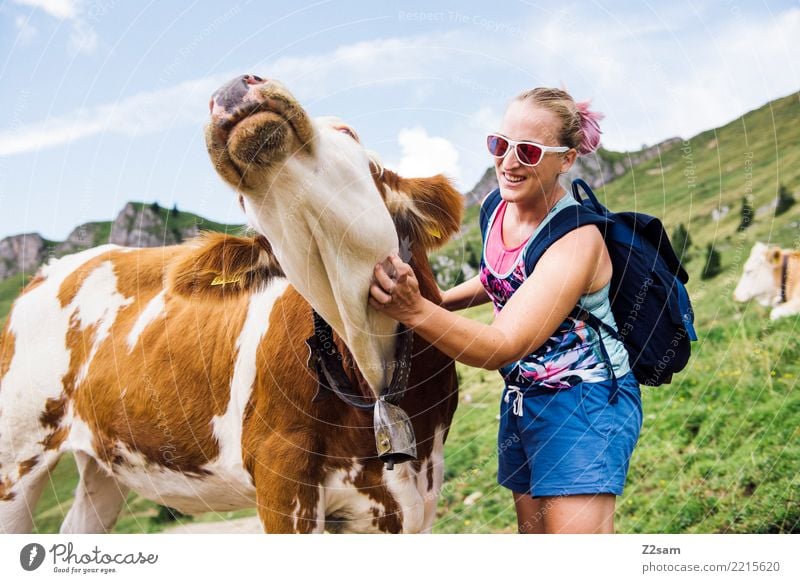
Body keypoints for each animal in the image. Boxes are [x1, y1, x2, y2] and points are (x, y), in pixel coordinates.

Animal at [0, 74, 462, 532]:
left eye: (348, 131)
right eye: (241, 202)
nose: (229, 89)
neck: (370, 367)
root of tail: (52, 268)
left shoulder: (419, 492)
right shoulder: (281, 479)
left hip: (105, 463)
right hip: (16, 455)